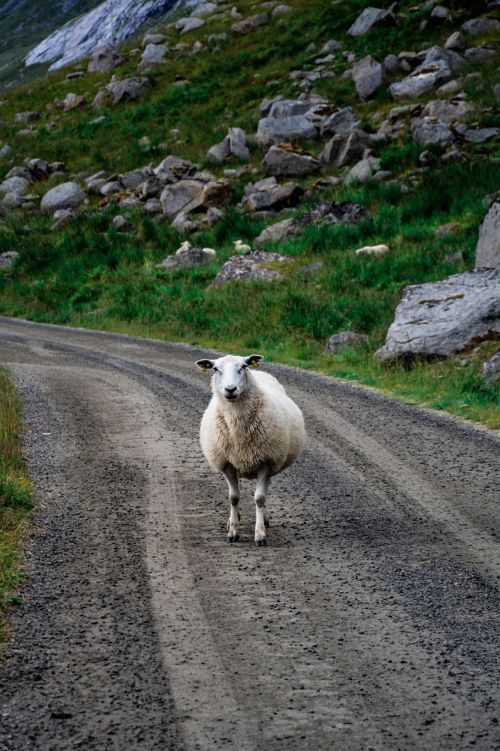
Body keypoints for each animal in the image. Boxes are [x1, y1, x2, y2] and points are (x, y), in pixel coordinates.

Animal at [195, 352, 304, 548]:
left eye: (243, 367)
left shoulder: (266, 462)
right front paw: (233, 531)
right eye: (215, 369)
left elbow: (259, 498)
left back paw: (264, 520)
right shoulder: (227, 464)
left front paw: (260, 534)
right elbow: (233, 497)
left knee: (265, 491)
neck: (238, 429)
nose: (230, 389)